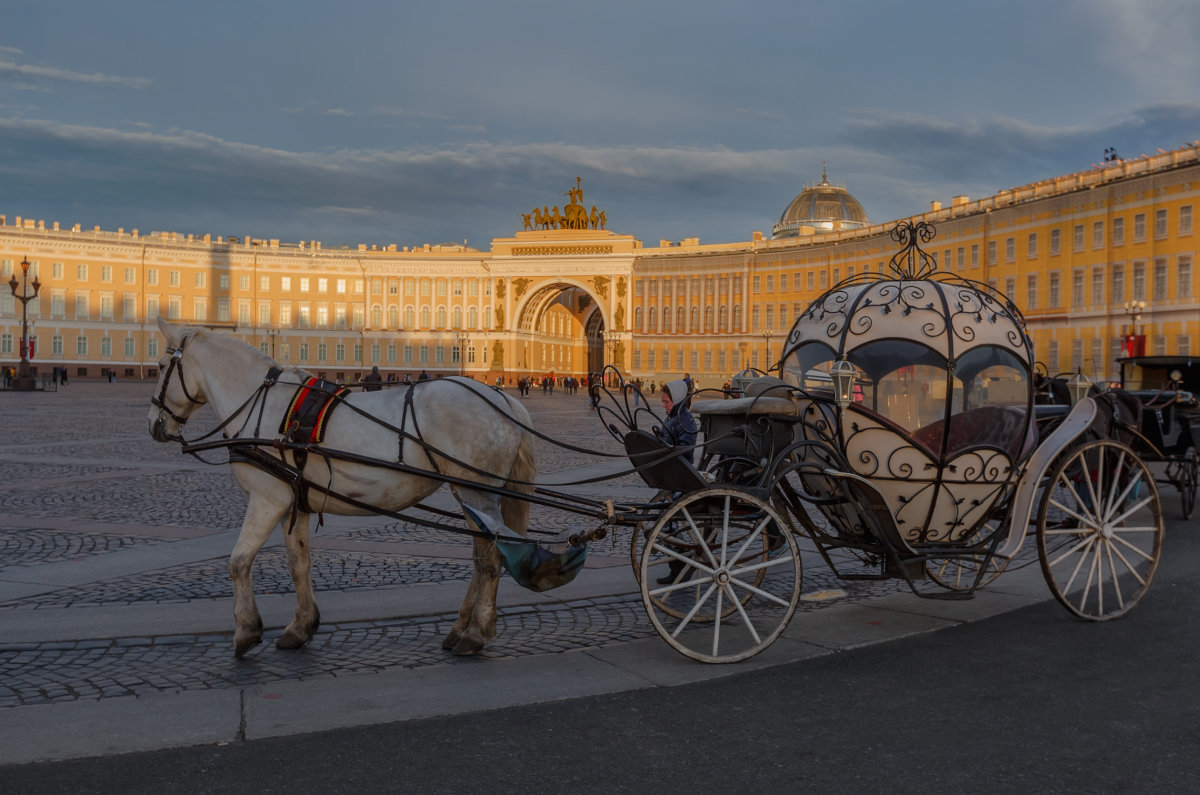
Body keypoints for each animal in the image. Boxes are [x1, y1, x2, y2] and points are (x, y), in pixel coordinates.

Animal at [145, 317, 535, 658]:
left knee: (491, 559)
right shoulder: (296, 502)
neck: (260, 406)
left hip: (477, 492)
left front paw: (246, 632)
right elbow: (298, 563)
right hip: (468, 494)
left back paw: (475, 634)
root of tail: (504, 399)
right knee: (481, 558)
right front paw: (300, 628)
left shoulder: (267, 499)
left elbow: (238, 561)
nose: (153, 425)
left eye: (163, 365)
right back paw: (458, 631)